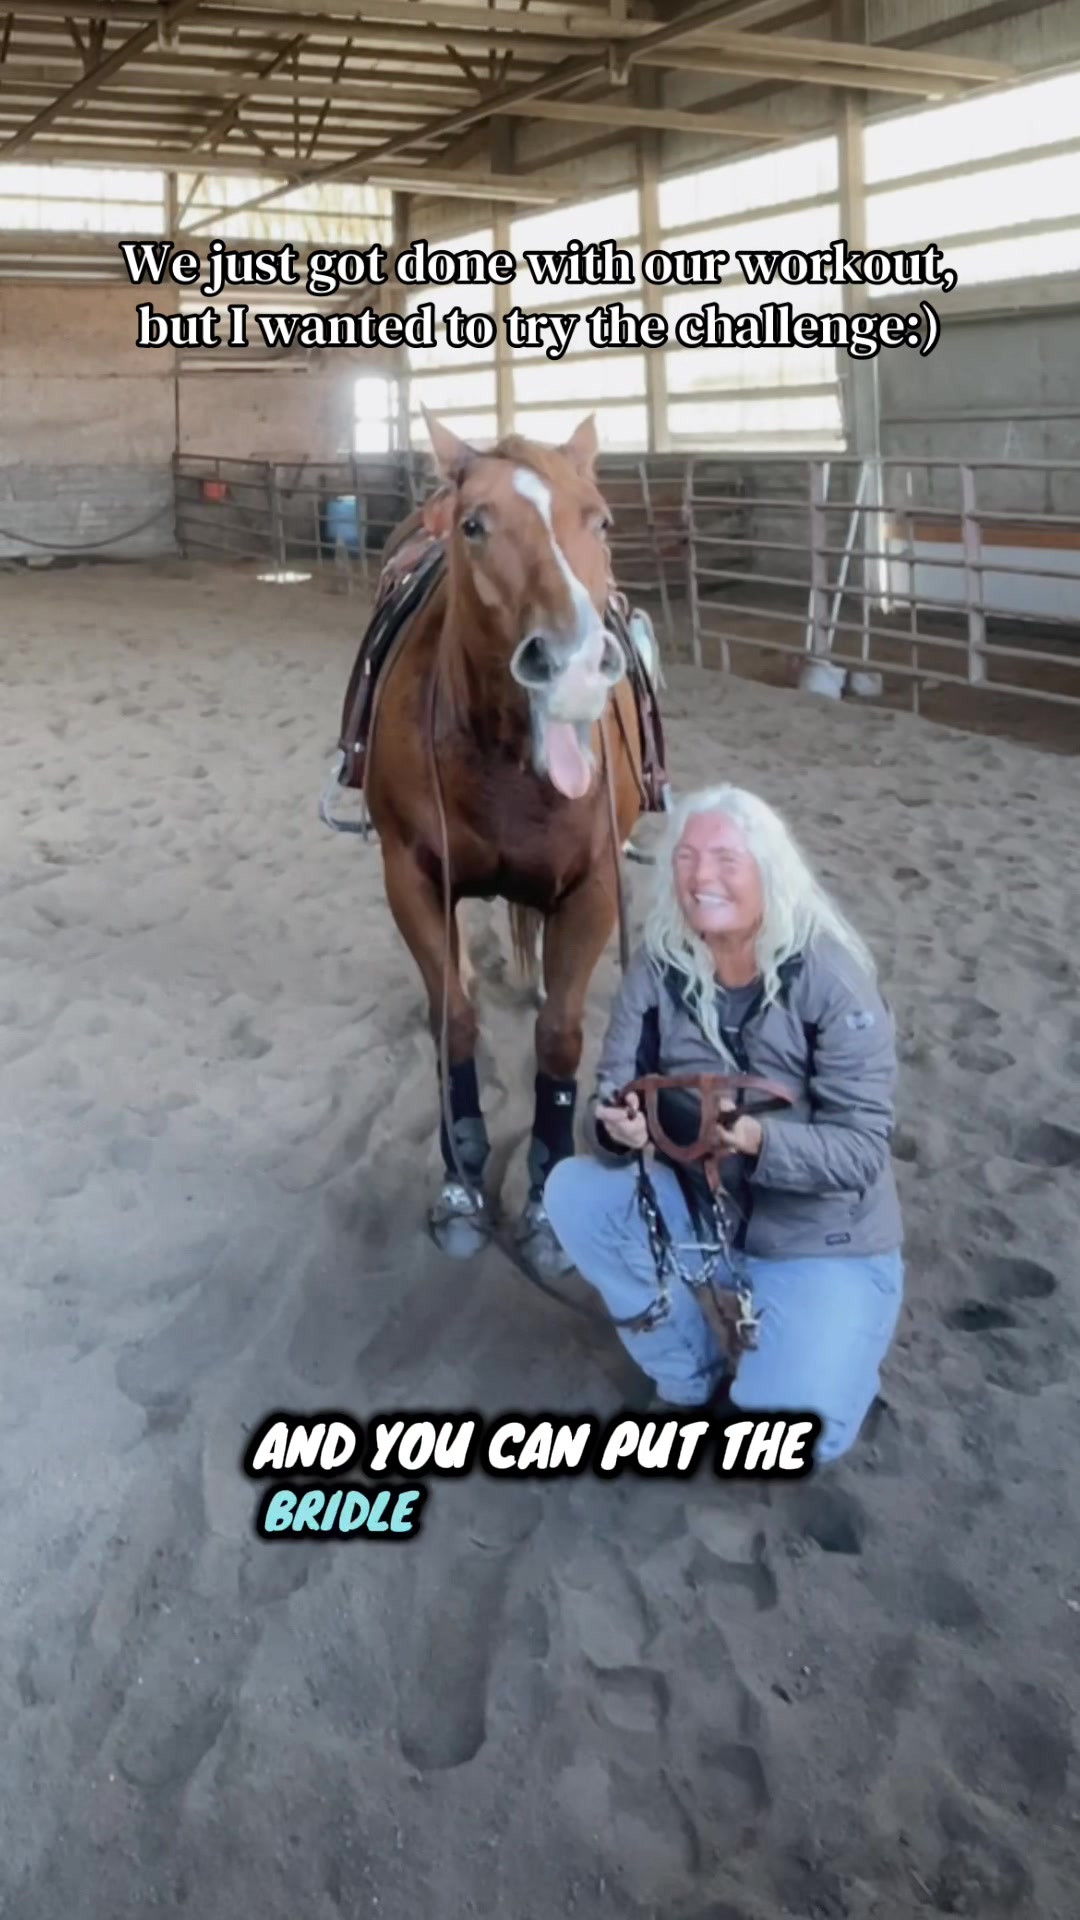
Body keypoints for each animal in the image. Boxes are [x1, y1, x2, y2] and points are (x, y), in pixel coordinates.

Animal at [348, 408, 663, 1277]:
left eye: (602, 520)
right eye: (475, 525)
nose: (575, 668)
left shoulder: (593, 888)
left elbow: (561, 1039)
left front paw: (547, 1209)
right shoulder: (411, 878)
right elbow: (452, 1019)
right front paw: (461, 1186)